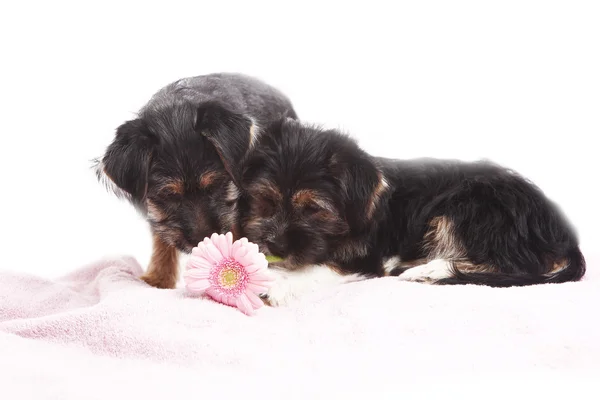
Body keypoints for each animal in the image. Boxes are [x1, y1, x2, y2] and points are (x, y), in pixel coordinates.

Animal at [94, 73, 298, 290]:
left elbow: (236, 229)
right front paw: (159, 278)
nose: (203, 241)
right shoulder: (155, 209)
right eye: (169, 195)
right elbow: (161, 235)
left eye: (216, 185)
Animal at [200, 108, 584, 304]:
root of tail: (564, 234)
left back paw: (429, 270)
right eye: (265, 200)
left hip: (474, 207)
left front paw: (276, 284)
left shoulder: (364, 257)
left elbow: (318, 268)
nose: (276, 245)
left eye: (313, 210)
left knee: (517, 266)